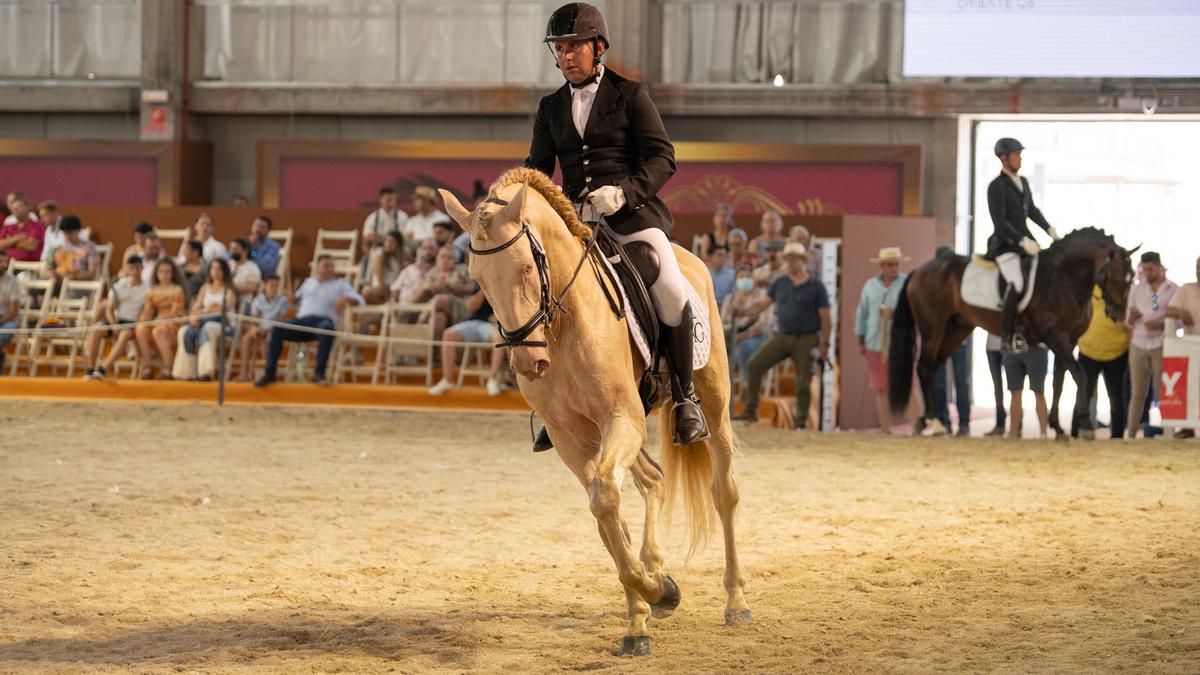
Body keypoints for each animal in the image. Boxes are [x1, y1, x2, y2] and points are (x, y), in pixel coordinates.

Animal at [434, 165, 748, 653]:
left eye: (527, 267)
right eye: (479, 280)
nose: (527, 362)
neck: (562, 325)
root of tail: (690, 259)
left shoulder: (621, 417)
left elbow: (605, 500)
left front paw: (658, 593)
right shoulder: (571, 436)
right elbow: (606, 512)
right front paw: (646, 607)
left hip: (712, 401)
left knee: (724, 491)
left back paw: (735, 602)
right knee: (652, 480)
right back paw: (655, 573)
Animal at [892, 225, 1132, 437]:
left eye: (1131, 279)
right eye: (1113, 277)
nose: (1120, 315)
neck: (1063, 278)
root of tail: (919, 270)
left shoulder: (1068, 341)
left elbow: (1058, 383)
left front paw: (1057, 427)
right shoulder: (1056, 338)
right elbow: (1079, 376)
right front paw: (1085, 425)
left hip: (955, 330)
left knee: (931, 367)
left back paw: (927, 420)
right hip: (932, 328)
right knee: (924, 367)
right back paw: (932, 421)